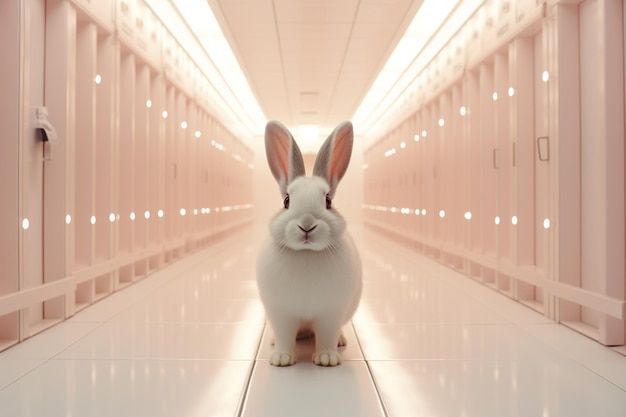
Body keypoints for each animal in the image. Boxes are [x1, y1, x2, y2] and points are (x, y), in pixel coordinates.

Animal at [255, 119, 360, 364]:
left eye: (328, 201)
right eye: (286, 201)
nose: (306, 224)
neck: (307, 253)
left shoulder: (330, 314)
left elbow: (327, 336)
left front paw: (327, 358)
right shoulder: (281, 314)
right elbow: (284, 336)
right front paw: (281, 359)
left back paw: (341, 341)